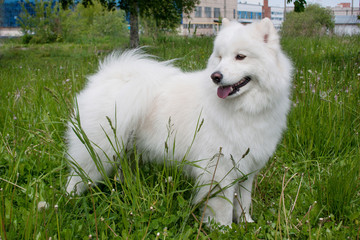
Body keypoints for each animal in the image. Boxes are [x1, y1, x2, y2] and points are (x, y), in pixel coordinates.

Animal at [67, 17, 292, 226]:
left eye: (240, 57)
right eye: (220, 57)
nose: (216, 76)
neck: (243, 108)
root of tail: (109, 78)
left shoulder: (247, 169)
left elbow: (243, 201)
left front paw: (247, 224)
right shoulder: (220, 171)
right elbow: (224, 208)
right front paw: (225, 229)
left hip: (125, 149)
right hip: (96, 151)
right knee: (76, 177)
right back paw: (69, 201)